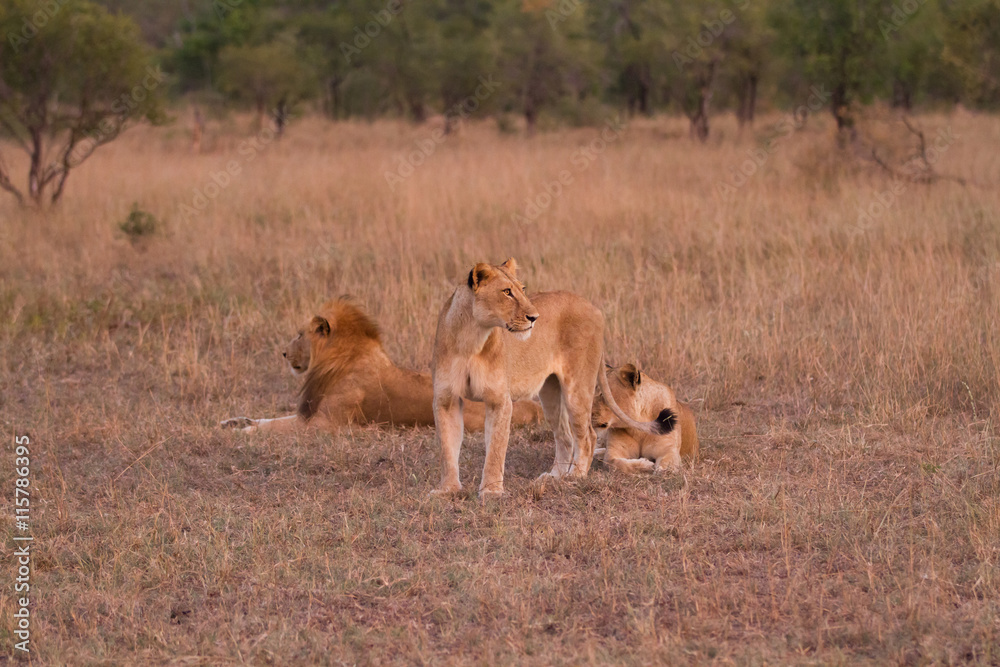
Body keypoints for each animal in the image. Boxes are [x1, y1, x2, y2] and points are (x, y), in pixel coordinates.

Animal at [221, 298, 543, 434]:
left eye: (300, 334)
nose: (284, 353)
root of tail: (533, 407)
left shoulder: (323, 424)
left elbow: (275, 428)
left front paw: (242, 434)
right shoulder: (309, 414)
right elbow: (269, 420)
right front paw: (235, 422)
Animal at [430, 258, 672, 499]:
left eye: (523, 289)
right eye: (507, 292)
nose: (534, 317)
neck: (471, 339)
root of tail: (592, 306)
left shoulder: (499, 400)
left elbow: (495, 450)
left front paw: (491, 491)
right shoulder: (446, 399)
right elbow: (447, 448)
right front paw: (447, 490)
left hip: (577, 388)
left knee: (588, 436)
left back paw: (576, 476)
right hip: (550, 392)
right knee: (565, 436)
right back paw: (555, 476)